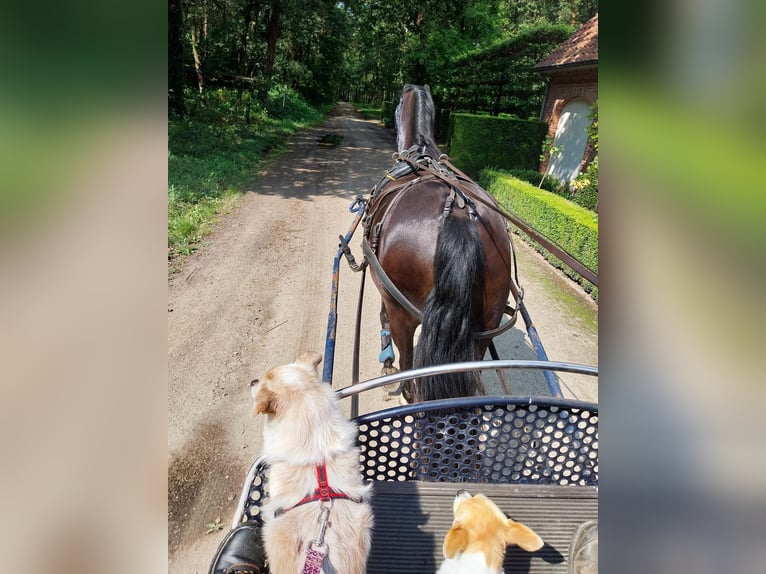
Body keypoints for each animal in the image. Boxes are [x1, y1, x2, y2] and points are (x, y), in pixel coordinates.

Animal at [364, 84, 516, 404]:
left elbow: (383, 317)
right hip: (484, 326)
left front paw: (385, 359)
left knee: (409, 366)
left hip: (405, 314)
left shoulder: (386, 293)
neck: (420, 152)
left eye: (396, 106)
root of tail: (456, 210)